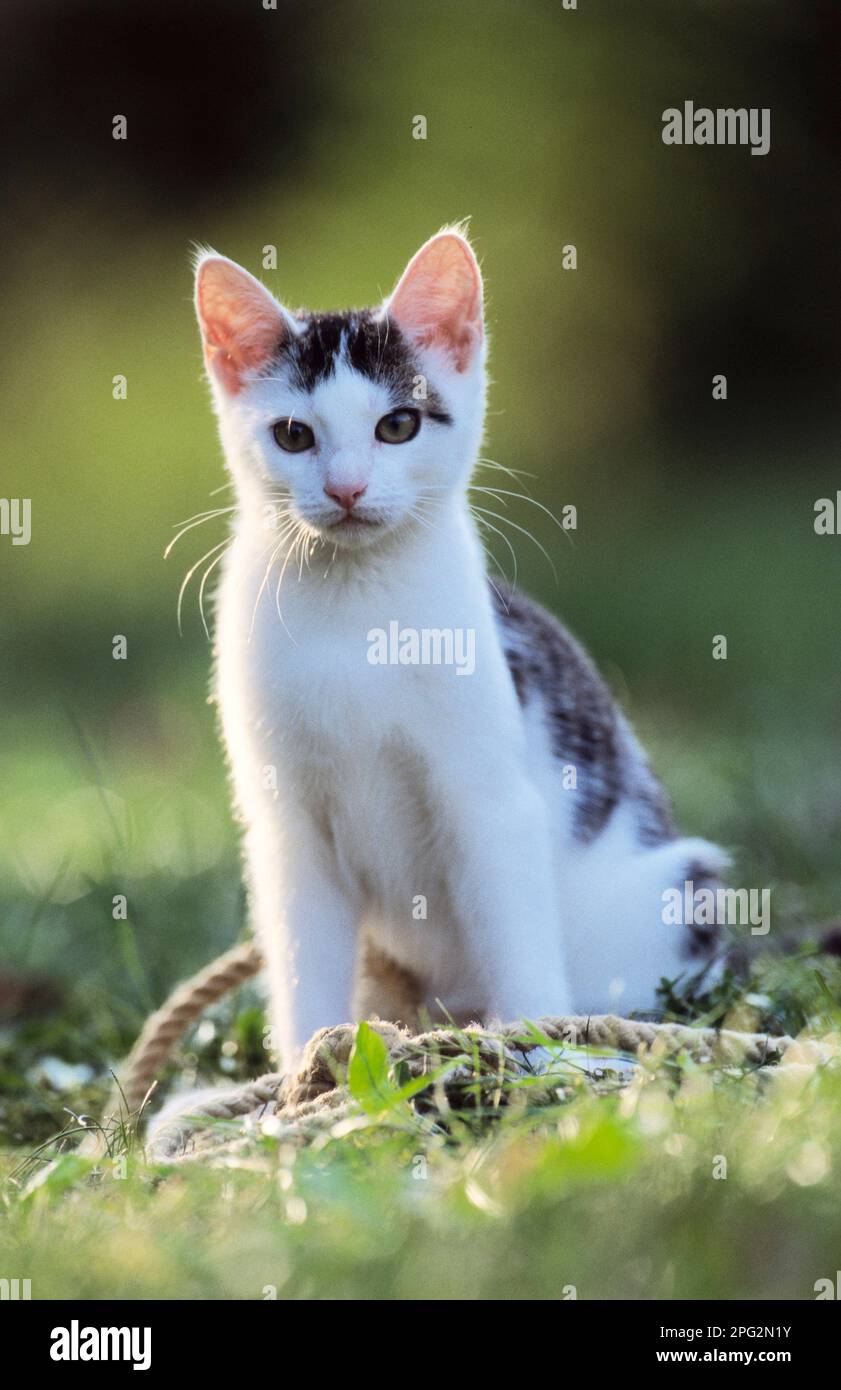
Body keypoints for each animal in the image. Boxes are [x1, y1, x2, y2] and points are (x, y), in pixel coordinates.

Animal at [193, 230, 722, 1073]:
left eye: (397, 426)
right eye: (293, 435)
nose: (345, 489)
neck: (357, 611)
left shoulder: (490, 798)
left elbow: (513, 927)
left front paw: (540, 1050)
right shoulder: (287, 829)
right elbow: (304, 955)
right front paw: (303, 1068)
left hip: (676, 885)